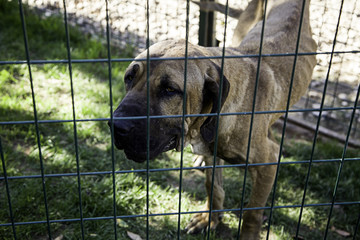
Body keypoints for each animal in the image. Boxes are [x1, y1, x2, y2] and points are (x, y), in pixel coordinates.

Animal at [108, 0, 316, 238]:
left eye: (170, 89)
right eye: (129, 77)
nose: (116, 125)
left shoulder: (267, 163)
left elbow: (252, 213)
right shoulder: (211, 151)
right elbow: (212, 186)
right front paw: (209, 219)